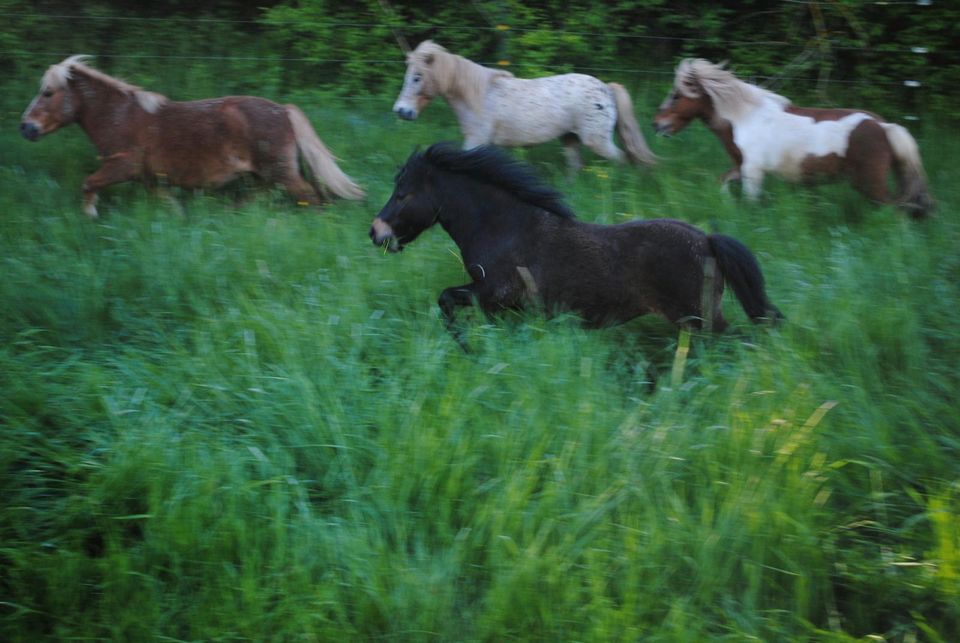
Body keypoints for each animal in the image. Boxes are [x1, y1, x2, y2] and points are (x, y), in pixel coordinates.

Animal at [19, 55, 364, 216]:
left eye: (48, 92)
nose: (26, 127)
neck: (119, 116)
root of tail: (283, 110)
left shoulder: (122, 166)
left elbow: (88, 183)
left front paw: (90, 214)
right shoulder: (152, 180)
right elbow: (169, 205)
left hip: (282, 174)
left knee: (312, 199)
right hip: (264, 177)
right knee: (255, 199)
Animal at [368, 143, 780, 348]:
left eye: (404, 194)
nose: (375, 232)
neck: (503, 227)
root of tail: (708, 241)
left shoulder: (492, 293)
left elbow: (446, 300)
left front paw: (465, 347)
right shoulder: (504, 305)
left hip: (702, 319)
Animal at [394, 41, 656, 175]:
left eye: (417, 77)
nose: (401, 111)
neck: (480, 95)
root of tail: (606, 89)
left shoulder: (476, 140)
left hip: (597, 141)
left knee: (621, 159)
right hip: (570, 138)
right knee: (576, 167)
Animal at [652, 56, 928, 216]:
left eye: (676, 95)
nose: (656, 125)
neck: (744, 117)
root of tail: (885, 126)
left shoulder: (753, 170)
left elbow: (750, 200)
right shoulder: (741, 167)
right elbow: (722, 183)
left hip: (871, 184)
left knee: (895, 209)